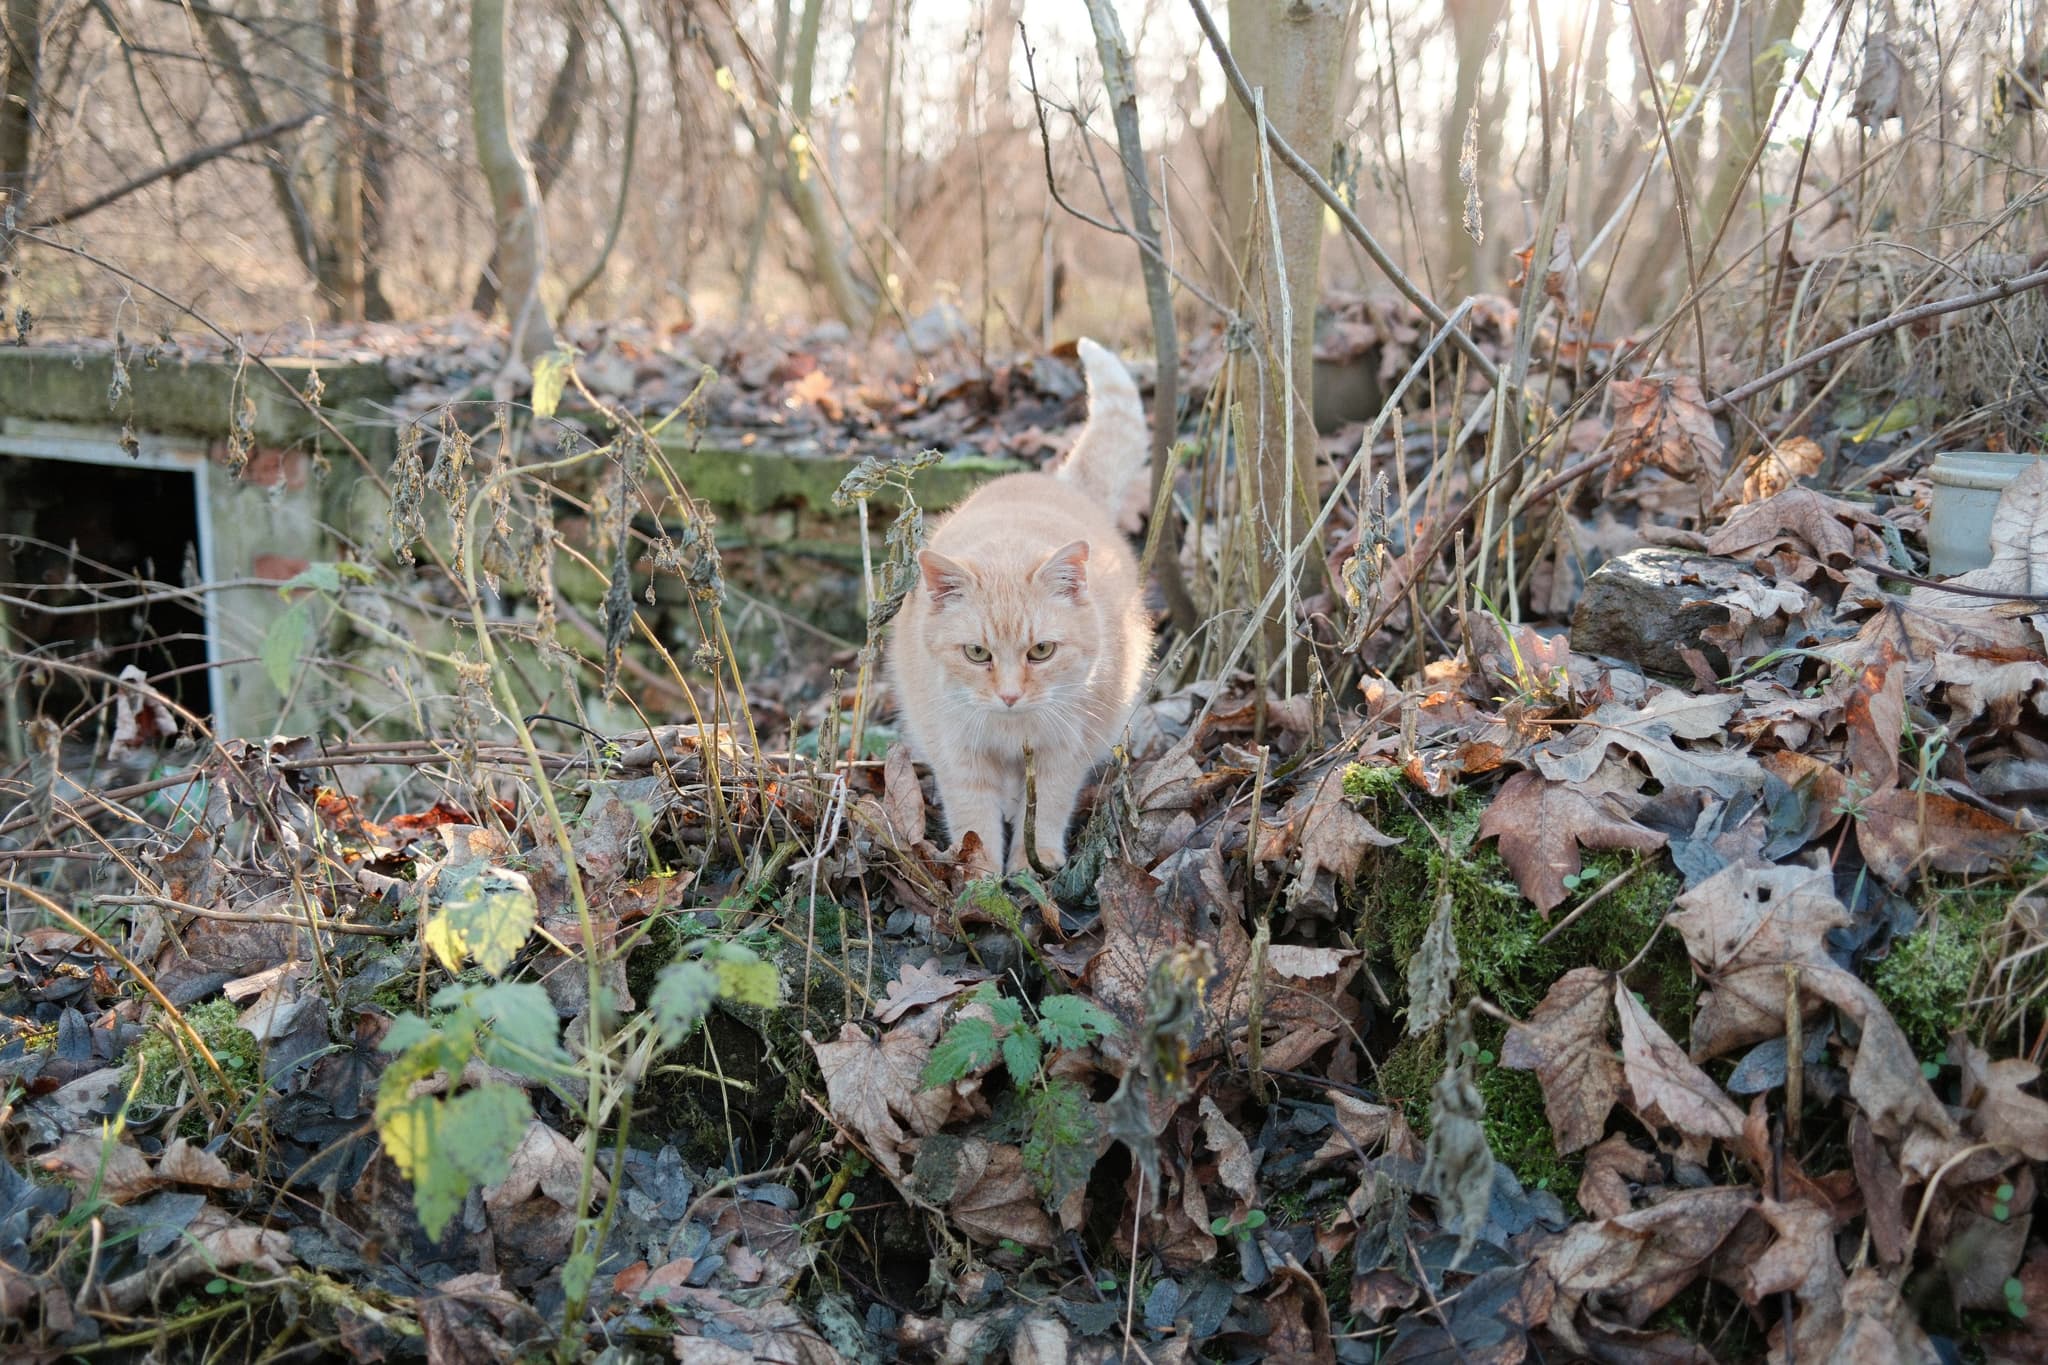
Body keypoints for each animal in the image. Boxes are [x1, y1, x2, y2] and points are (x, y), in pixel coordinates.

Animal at [892, 339, 1163, 875]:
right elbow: (974, 820)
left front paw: (1029, 865)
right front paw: (979, 877)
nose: (1010, 695)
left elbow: (1048, 809)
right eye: (977, 653)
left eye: (1041, 651)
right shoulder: (959, 753)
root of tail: (1062, 483)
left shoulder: (1062, 752)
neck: (1012, 728)